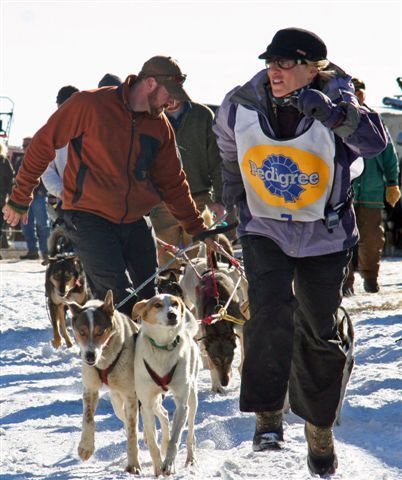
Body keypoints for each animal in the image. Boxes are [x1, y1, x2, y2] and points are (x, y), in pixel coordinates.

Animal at [70, 290, 141, 474]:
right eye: (81, 332)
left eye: (100, 332)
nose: (89, 356)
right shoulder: (90, 389)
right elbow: (88, 419)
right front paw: (85, 447)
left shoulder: (131, 395)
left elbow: (133, 432)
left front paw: (133, 464)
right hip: (116, 401)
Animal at [133, 292, 200, 476]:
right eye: (157, 305)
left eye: (175, 303)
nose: (173, 315)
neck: (163, 348)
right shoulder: (147, 404)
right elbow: (153, 443)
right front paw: (157, 467)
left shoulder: (182, 405)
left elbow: (175, 440)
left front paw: (169, 464)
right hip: (152, 400)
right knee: (162, 413)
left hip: (192, 399)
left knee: (190, 433)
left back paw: (190, 458)